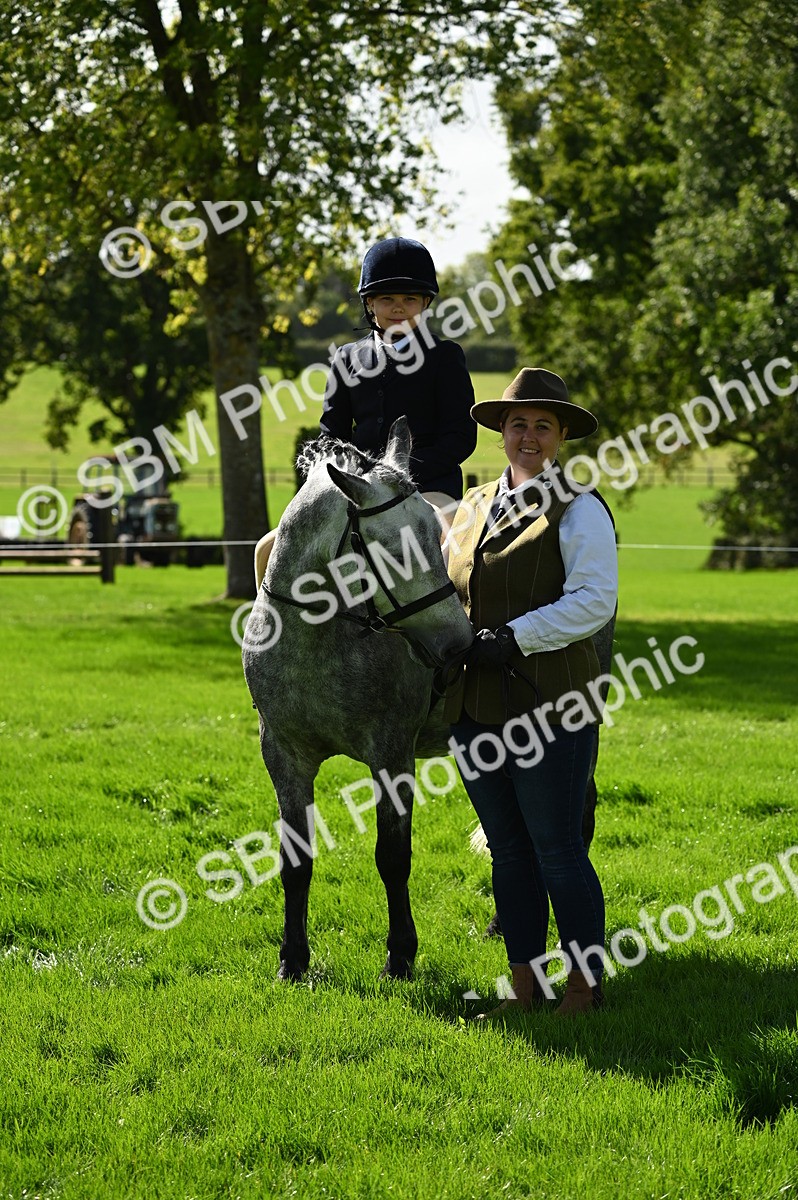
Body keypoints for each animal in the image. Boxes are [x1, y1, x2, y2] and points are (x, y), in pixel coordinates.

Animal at [242, 418, 474, 981]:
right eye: (394, 550)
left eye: (437, 538)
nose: (459, 646)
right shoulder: (283, 756)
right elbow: (295, 861)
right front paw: (293, 959)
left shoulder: (391, 756)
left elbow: (393, 857)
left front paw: (400, 954)